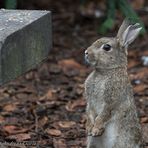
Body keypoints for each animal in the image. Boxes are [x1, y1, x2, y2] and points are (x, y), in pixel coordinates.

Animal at [84, 20, 143, 148]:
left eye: (107, 47)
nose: (86, 52)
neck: (107, 71)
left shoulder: (111, 101)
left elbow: (104, 114)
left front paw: (96, 129)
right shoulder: (90, 100)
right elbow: (89, 111)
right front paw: (89, 128)